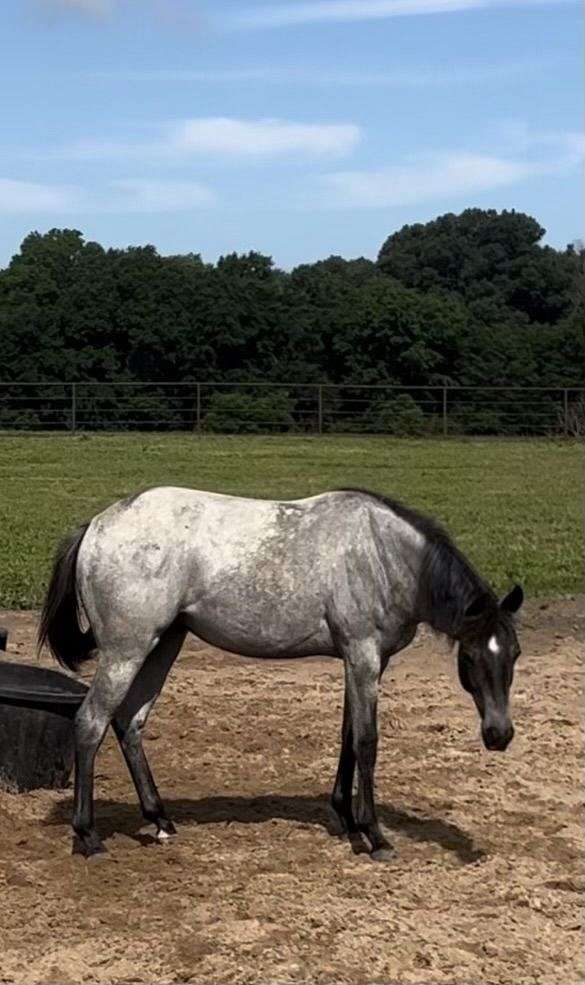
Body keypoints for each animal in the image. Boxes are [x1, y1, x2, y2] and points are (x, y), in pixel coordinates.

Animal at [38, 488, 524, 856]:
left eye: (514, 654)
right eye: (470, 658)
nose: (499, 735)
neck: (384, 554)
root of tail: (97, 525)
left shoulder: (360, 662)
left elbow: (348, 737)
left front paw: (346, 819)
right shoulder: (363, 656)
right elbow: (367, 742)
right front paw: (374, 834)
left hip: (163, 644)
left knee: (130, 723)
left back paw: (161, 820)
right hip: (126, 651)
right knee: (91, 723)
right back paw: (88, 836)